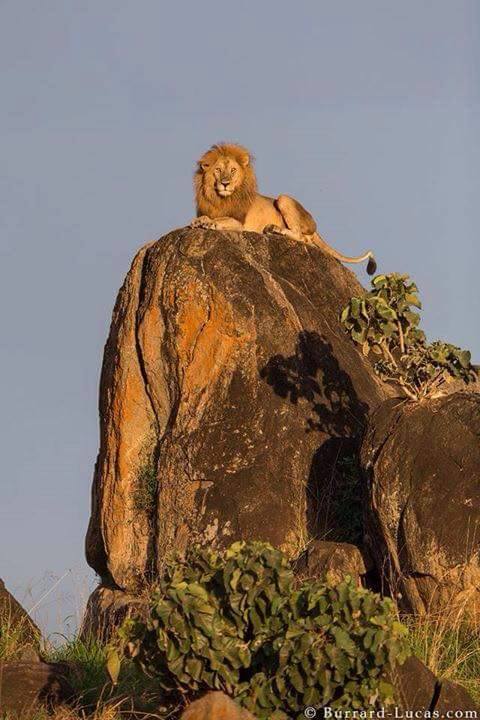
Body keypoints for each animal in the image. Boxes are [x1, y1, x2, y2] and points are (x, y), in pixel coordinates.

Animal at [191, 143, 376, 274]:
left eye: (233, 170)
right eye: (218, 170)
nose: (225, 183)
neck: (220, 199)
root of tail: (315, 226)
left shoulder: (240, 223)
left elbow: (223, 219)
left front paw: (211, 223)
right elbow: (203, 217)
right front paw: (199, 221)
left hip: (283, 198)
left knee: (300, 237)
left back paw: (274, 229)